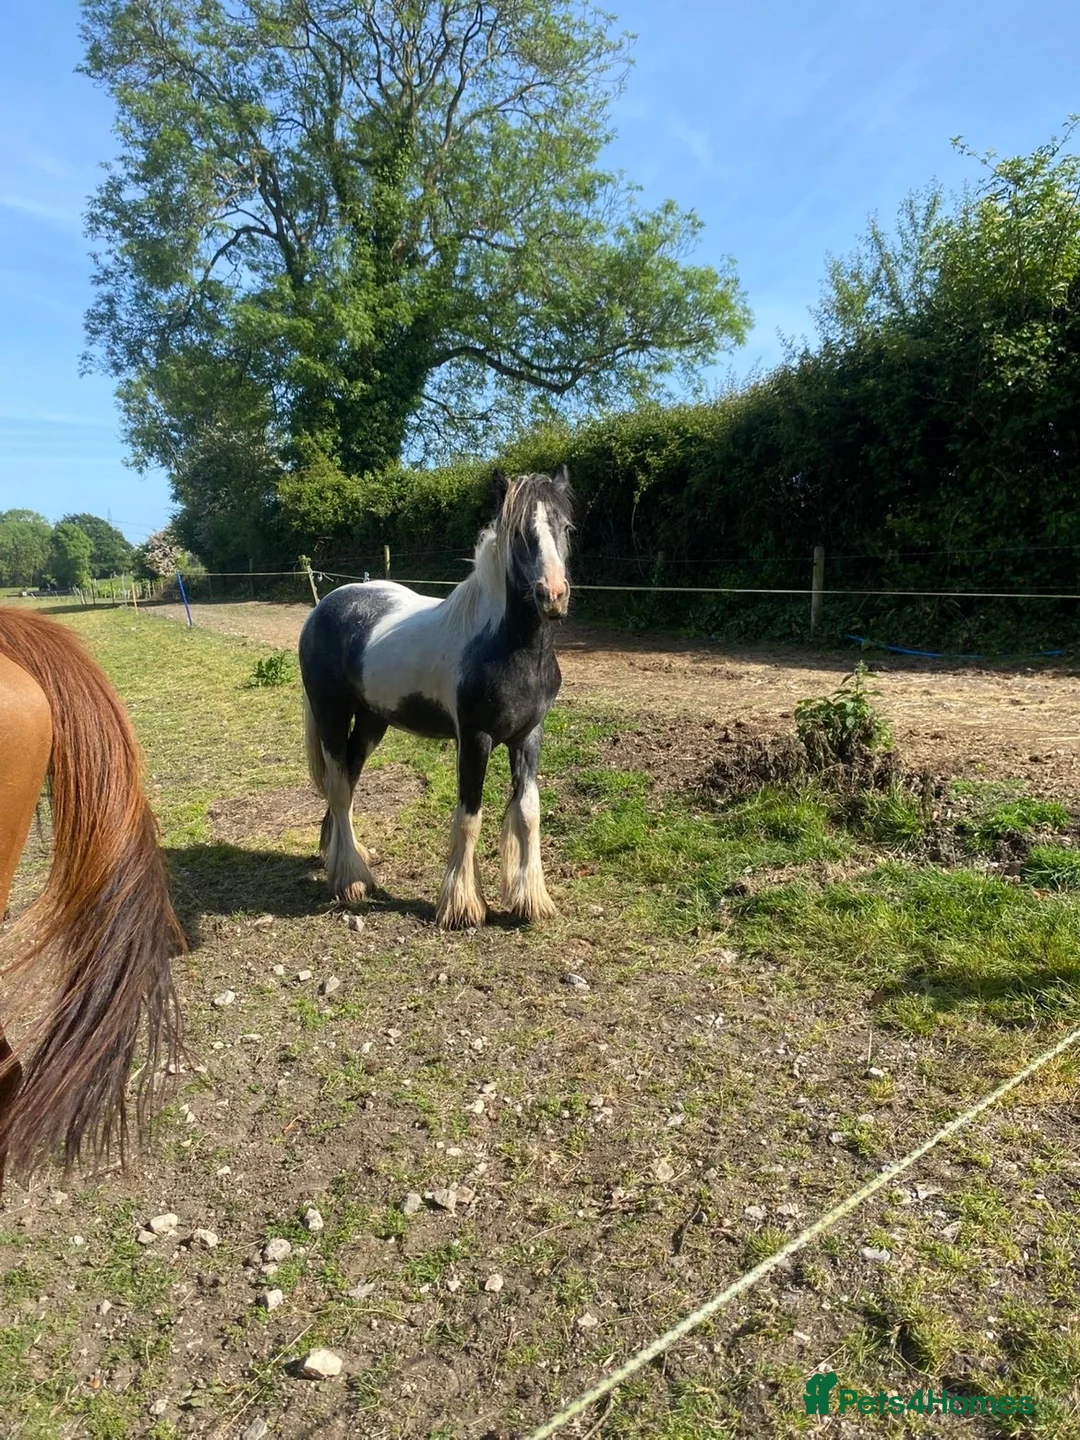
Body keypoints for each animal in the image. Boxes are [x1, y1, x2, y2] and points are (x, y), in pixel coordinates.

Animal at [299, 466, 574, 930]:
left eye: (566, 528)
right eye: (520, 533)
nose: (552, 595)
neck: (506, 647)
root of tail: (324, 608)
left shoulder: (528, 736)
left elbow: (528, 812)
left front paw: (531, 901)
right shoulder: (475, 739)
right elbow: (469, 818)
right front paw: (462, 908)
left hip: (372, 722)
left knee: (349, 781)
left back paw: (348, 857)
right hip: (332, 716)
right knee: (337, 785)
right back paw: (351, 880)